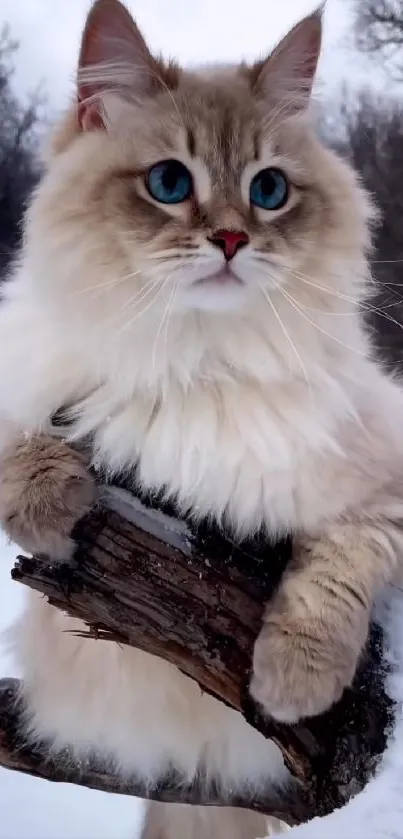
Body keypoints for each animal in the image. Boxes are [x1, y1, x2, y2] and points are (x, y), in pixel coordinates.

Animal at [0, 1, 403, 839]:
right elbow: (23, 446)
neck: (200, 361)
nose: (230, 239)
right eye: (168, 182)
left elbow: (333, 576)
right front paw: (51, 506)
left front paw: (289, 684)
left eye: (269, 189)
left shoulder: (382, 489)